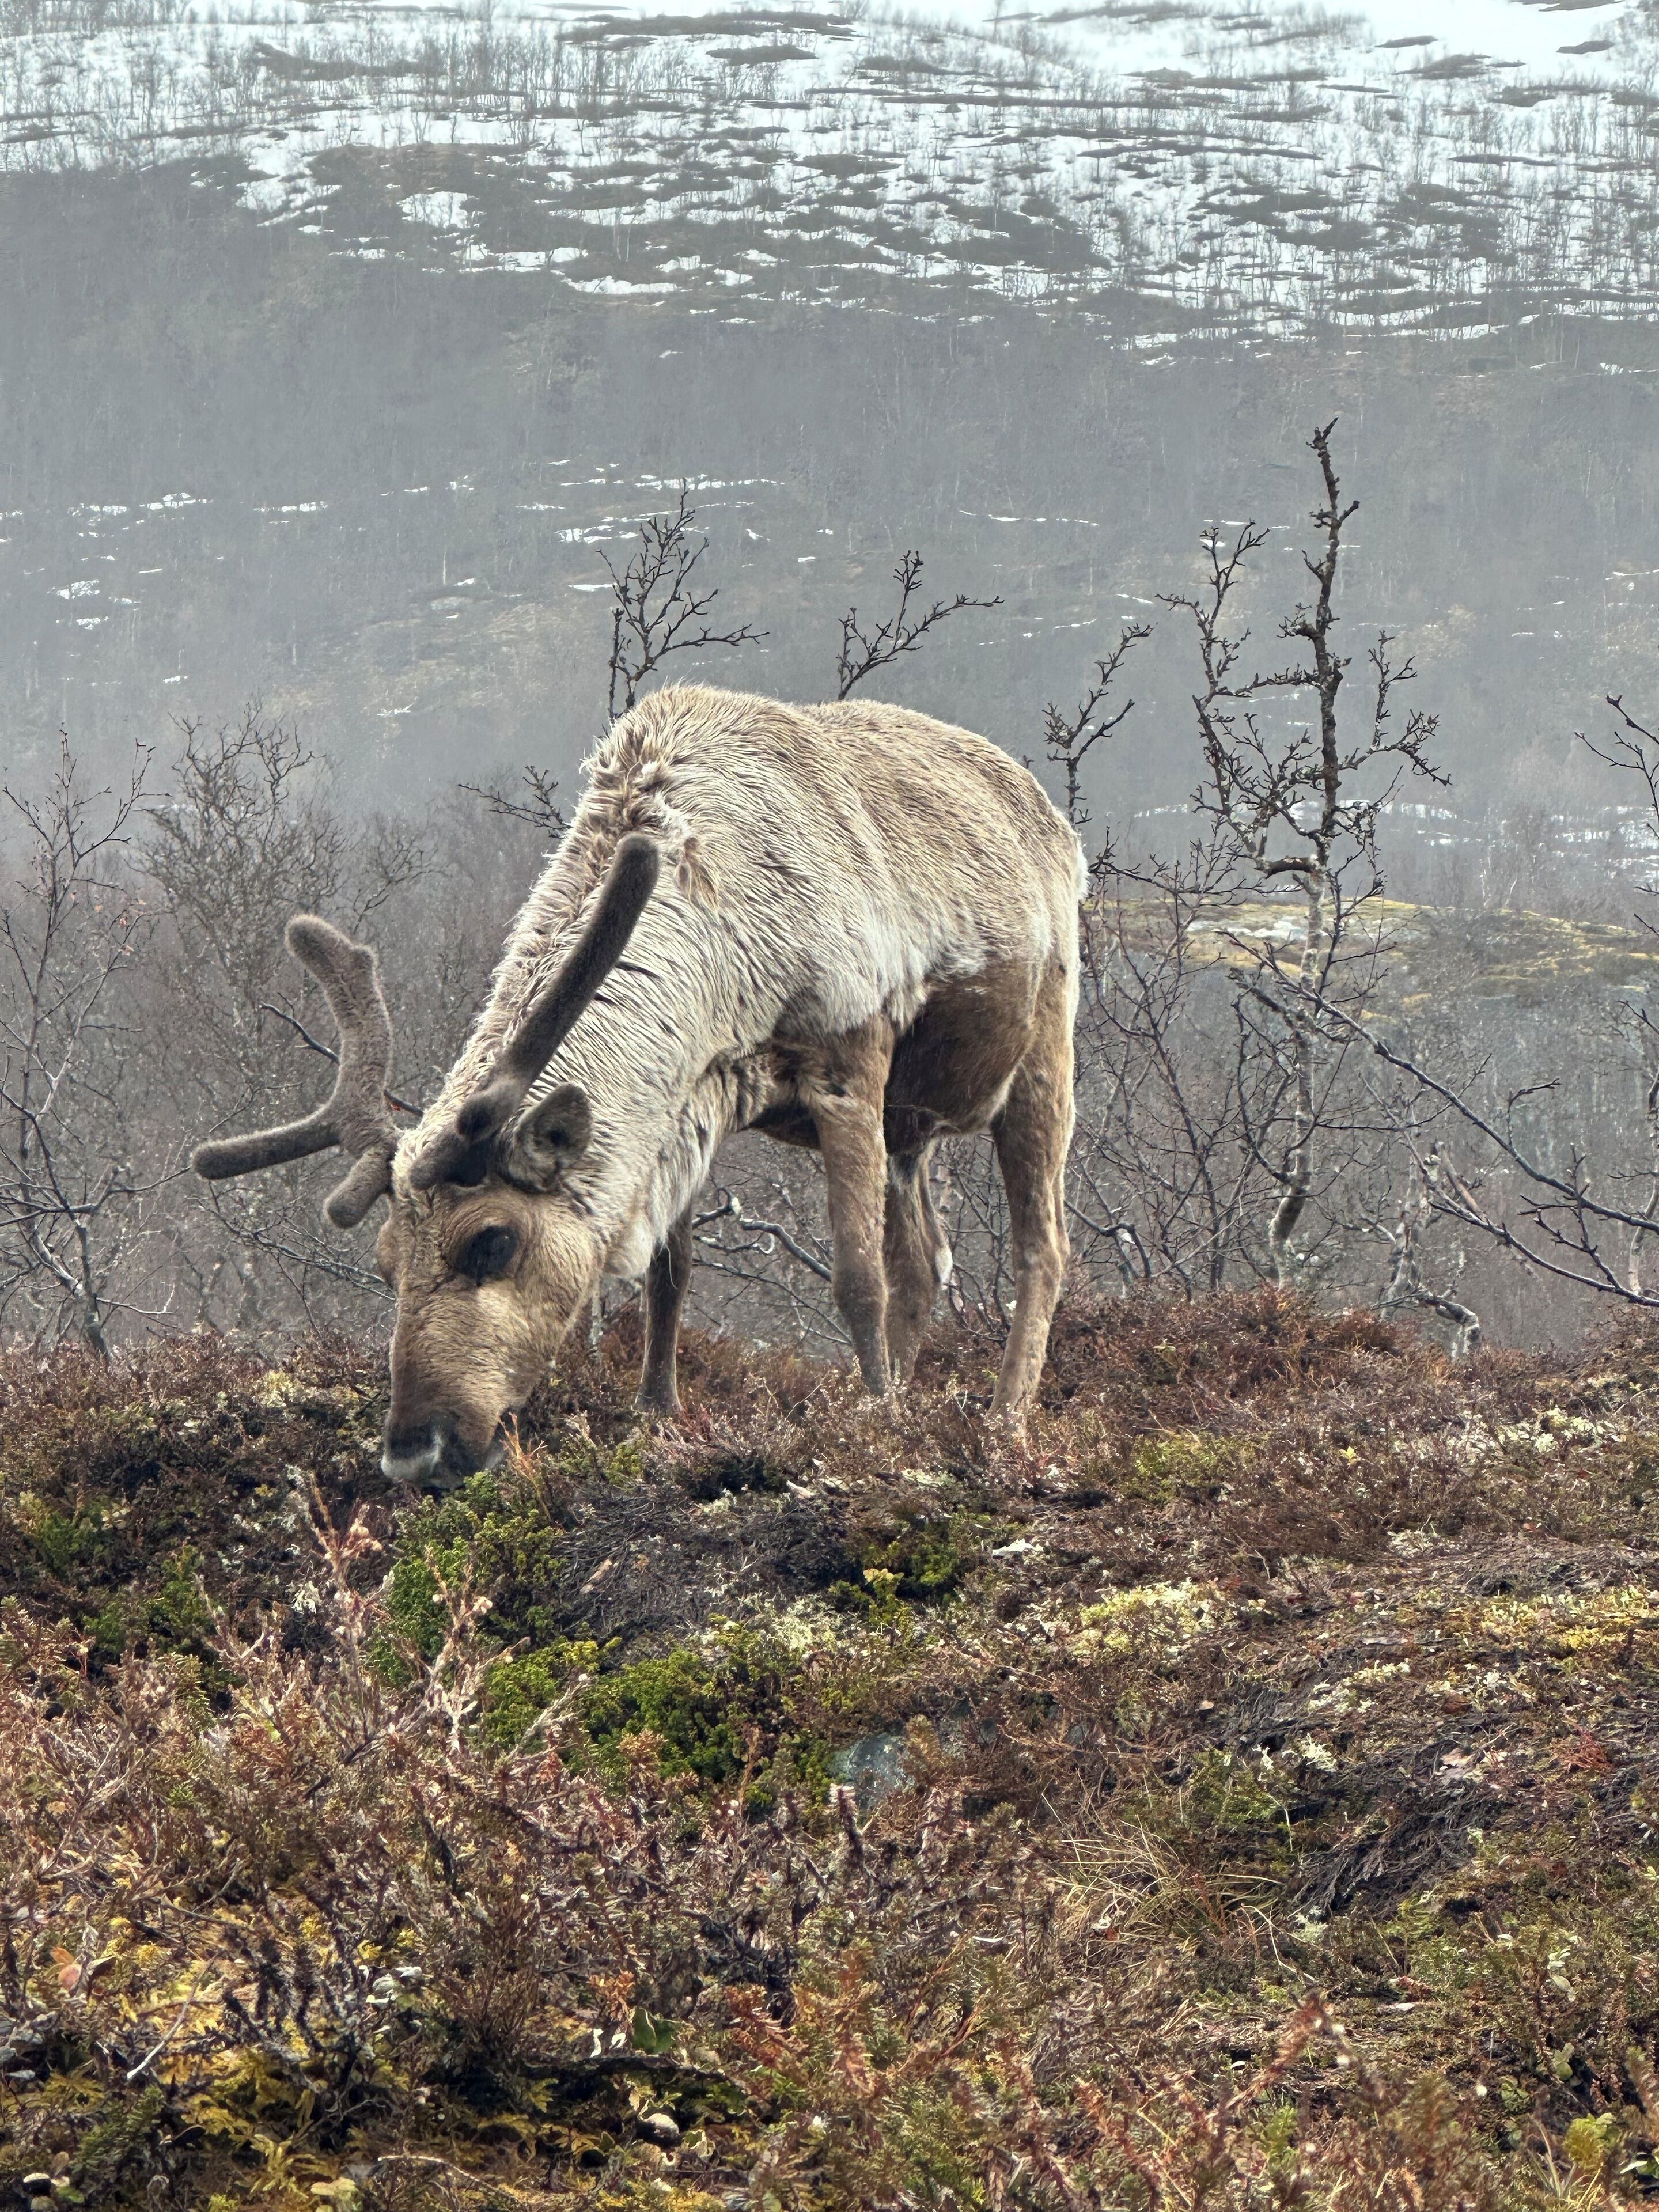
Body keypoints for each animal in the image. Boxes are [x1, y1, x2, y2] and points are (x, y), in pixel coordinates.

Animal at [193, 686, 1083, 1489]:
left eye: (492, 1240)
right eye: (384, 1265)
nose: (415, 1454)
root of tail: (1055, 822)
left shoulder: (848, 1058)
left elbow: (856, 1276)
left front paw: (878, 1422)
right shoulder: (689, 1096)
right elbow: (670, 1270)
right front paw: (657, 1412)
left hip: (1043, 1046)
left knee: (1039, 1246)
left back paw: (1002, 1419)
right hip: (913, 1124)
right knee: (927, 1258)